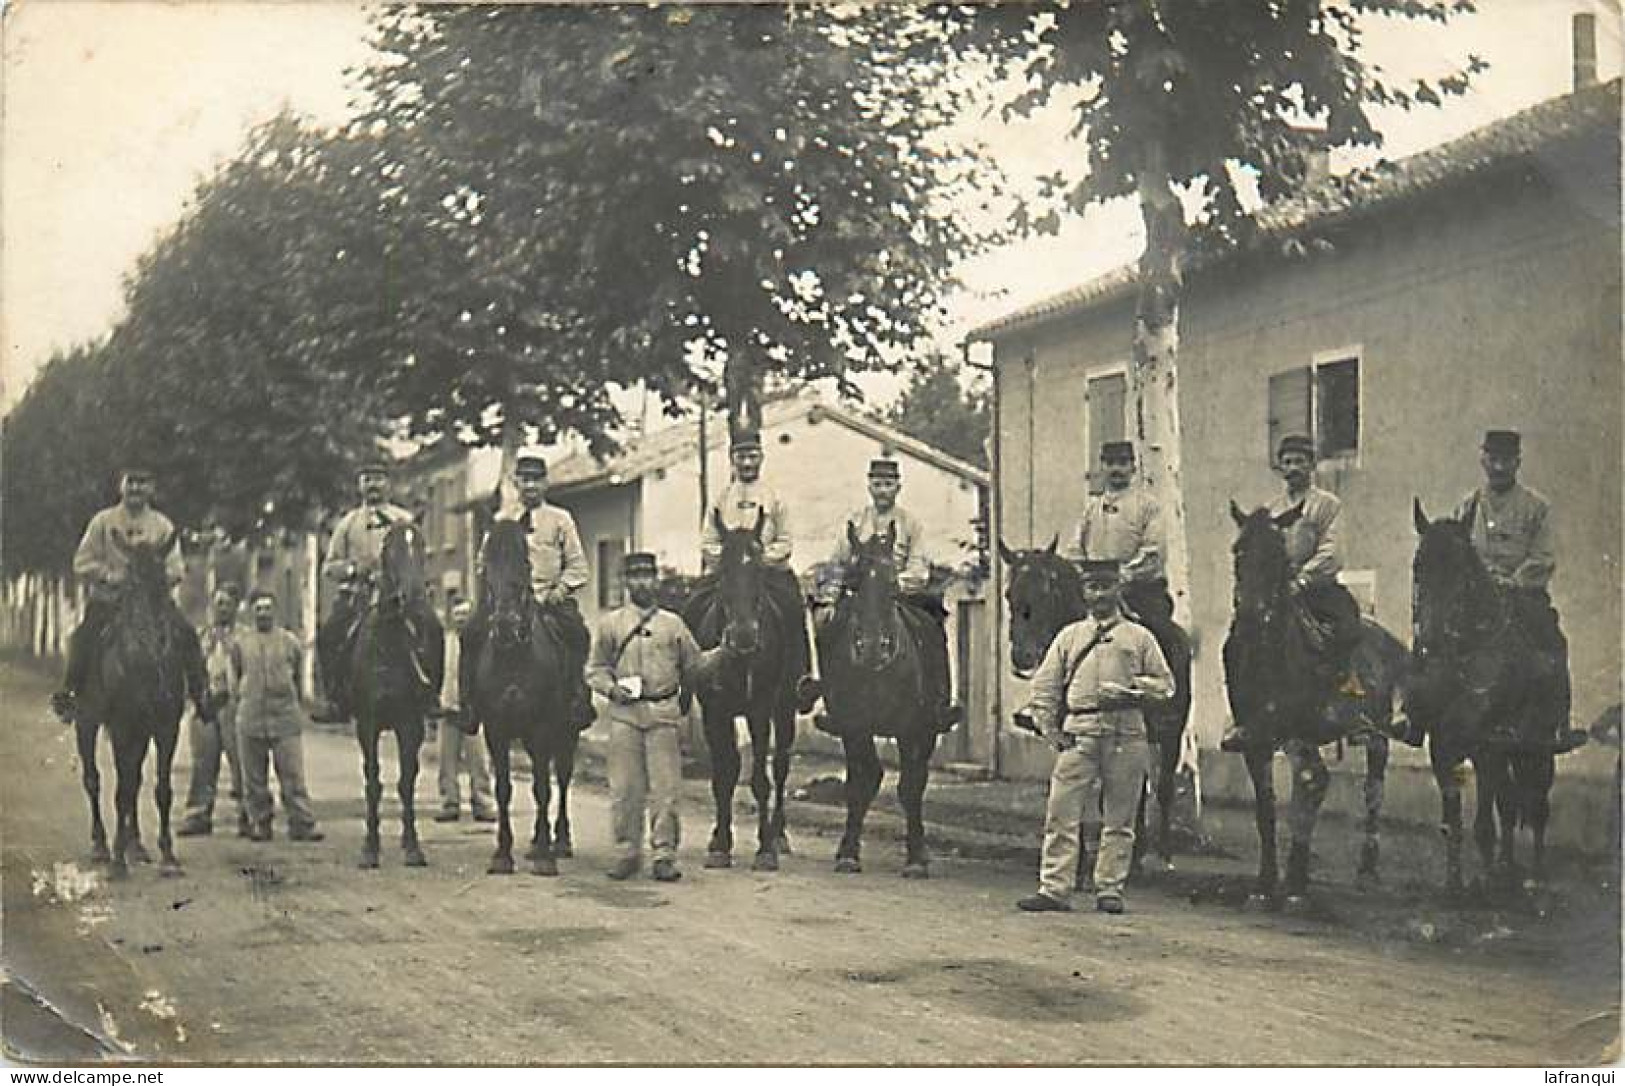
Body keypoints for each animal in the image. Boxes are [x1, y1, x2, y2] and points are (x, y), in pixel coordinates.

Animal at [86, 529, 208, 877]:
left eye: (163, 582)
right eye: (129, 582)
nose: (150, 638)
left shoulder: (166, 728)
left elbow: (160, 790)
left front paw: (168, 856)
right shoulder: (122, 726)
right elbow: (120, 791)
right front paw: (117, 862)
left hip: (140, 733)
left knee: (134, 779)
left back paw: (136, 846)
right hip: (87, 722)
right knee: (94, 780)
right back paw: (102, 846)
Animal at [464, 520, 578, 877]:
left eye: (526, 563)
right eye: (487, 567)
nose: (505, 625)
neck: (514, 656)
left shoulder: (543, 727)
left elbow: (542, 788)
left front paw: (544, 855)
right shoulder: (496, 729)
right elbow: (504, 789)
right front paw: (503, 854)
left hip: (565, 734)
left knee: (562, 780)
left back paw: (560, 841)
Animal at [679, 510, 793, 871]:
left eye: (758, 569)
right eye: (723, 571)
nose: (743, 635)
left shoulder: (761, 710)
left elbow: (760, 780)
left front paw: (765, 849)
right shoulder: (715, 711)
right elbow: (723, 775)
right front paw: (721, 844)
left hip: (785, 709)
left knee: (781, 766)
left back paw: (779, 835)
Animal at [825, 520, 942, 877]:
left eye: (893, 584)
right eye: (852, 584)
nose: (874, 648)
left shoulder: (912, 730)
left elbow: (911, 786)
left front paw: (916, 857)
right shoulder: (854, 727)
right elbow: (860, 784)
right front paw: (849, 853)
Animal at [988, 539, 1196, 871]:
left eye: (1047, 591)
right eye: (1009, 593)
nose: (1023, 657)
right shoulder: (1065, 738)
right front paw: (1079, 860)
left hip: (1170, 732)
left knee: (1162, 789)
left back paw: (1162, 853)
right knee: (1137, 791)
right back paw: (1136, 852)